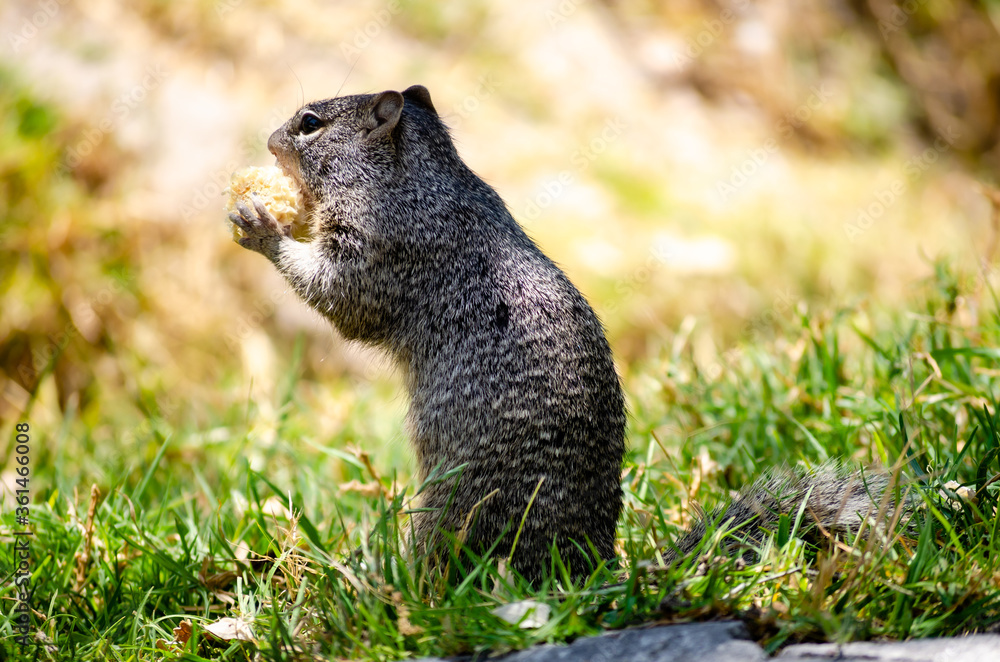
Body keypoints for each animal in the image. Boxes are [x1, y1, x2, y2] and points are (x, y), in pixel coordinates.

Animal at [228, 85, 901, 580]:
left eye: (310, 122)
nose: (269, 139)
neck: (415, 173)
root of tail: (586, 567)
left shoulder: (385, 247)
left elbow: (343, 299)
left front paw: (263, 226)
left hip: (455, 505)